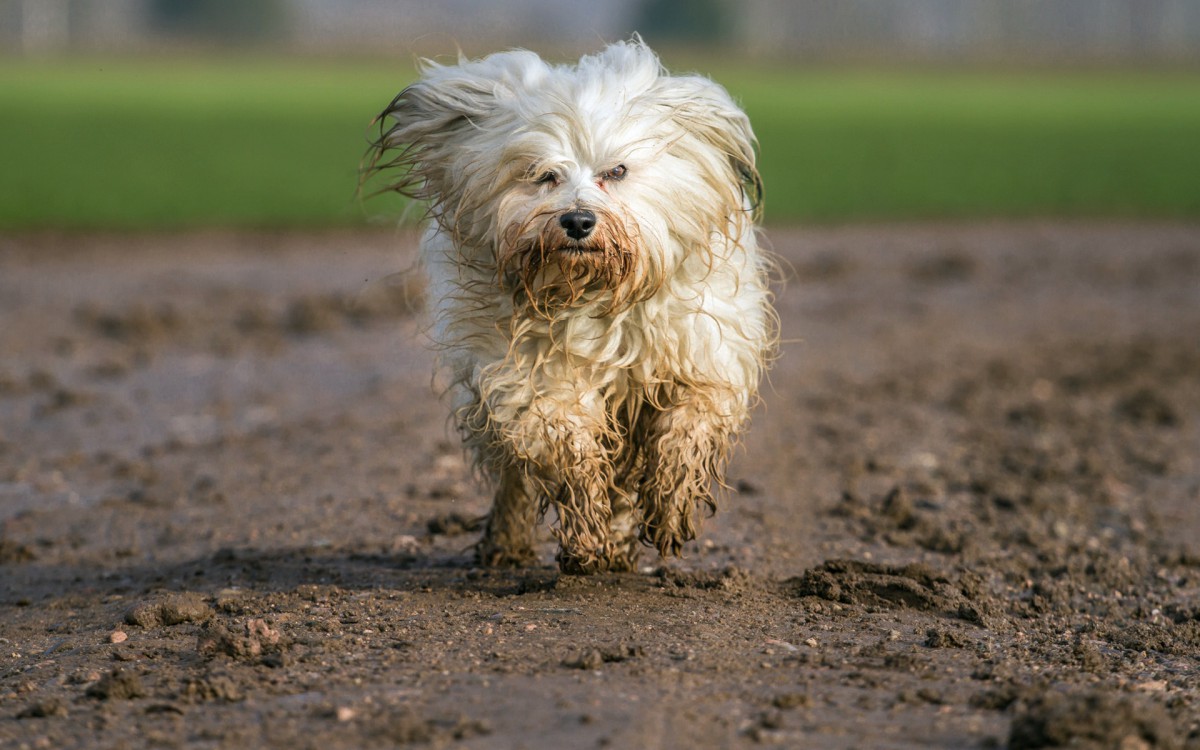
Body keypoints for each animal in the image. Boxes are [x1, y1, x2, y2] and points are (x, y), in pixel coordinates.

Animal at [367, 36, 777, 573]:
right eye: (543, 175)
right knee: (517, 476)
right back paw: (510, 543)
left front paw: (670, 507)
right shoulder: (527, 377)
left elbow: (689, 426)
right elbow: (568, 448)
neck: (595, 295)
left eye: (616, 171)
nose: (578, 221)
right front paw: (586, 533)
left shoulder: (702, 355)